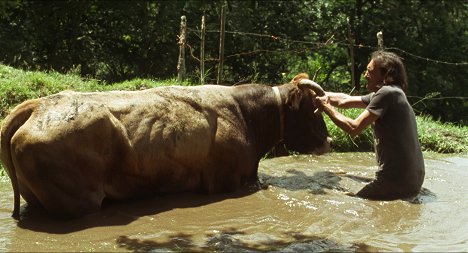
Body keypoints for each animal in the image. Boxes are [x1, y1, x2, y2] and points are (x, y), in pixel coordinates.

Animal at [0, 73, 330, 219]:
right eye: (315, 108)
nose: (328, 141)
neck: (245, 115)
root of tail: (37, 104)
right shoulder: (228, 181)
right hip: (79, 199)